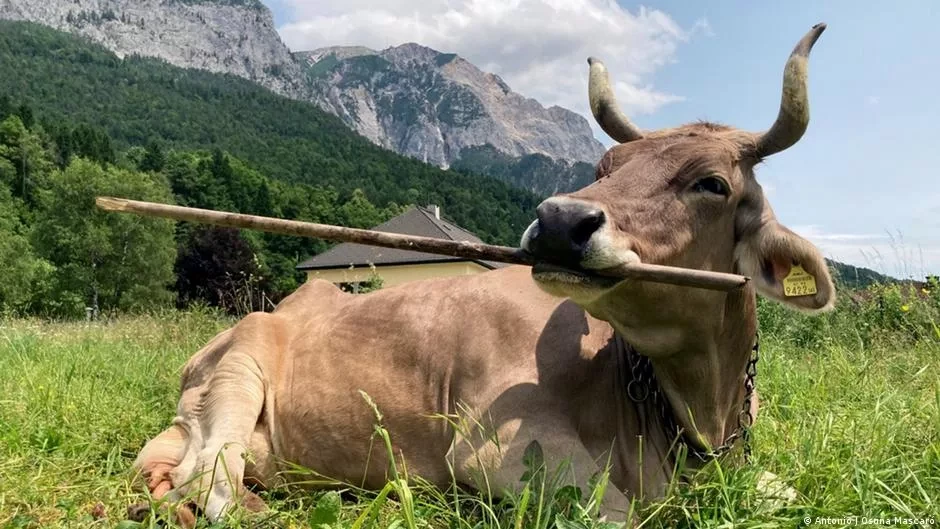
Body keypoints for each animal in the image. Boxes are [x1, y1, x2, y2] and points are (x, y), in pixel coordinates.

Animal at [129, 23, 834, 527]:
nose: (559, 220)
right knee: (209, 478)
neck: (696, 415)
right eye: (604, 167)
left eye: (712, 183)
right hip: (240, 366)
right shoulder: (501, 450)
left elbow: (794, 492)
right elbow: (619, 515)